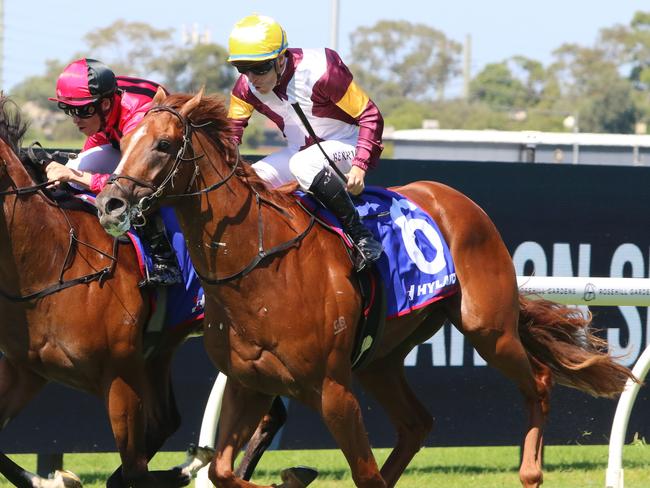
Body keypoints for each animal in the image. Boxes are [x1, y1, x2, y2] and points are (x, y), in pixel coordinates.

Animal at [0, 98, 268, 488]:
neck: (50, 259)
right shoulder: (27, 370)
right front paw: (50, 479)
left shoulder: (120, 376)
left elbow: (134, 469)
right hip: (162, 350)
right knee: (169, 420)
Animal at [95, 88, 632, 488]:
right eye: (125, 140)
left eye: (163, 145)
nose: (110, 203)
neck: (259, 267)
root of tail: (454, 198)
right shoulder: (249, 382)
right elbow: (226, 471)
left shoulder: (332, 388)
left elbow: (359, 469)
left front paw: (294, 473)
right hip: (380, 358)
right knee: (417, 423)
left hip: (487, 328)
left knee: (537, 380)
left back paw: (531, 471)